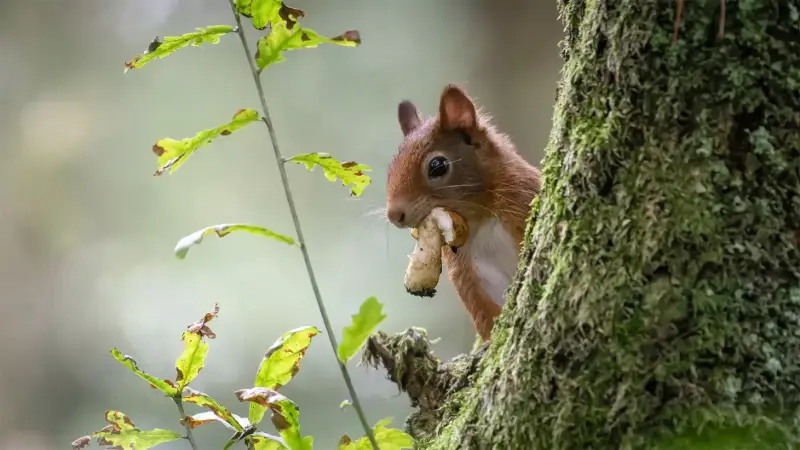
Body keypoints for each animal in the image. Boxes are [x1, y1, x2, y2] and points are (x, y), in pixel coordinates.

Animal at [385, 84, 542, 341]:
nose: (394, 215)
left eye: (438, 166)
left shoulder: (523, 199)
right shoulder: (467, 270)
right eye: (391, 169)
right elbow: (483, 310)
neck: (482, 215)